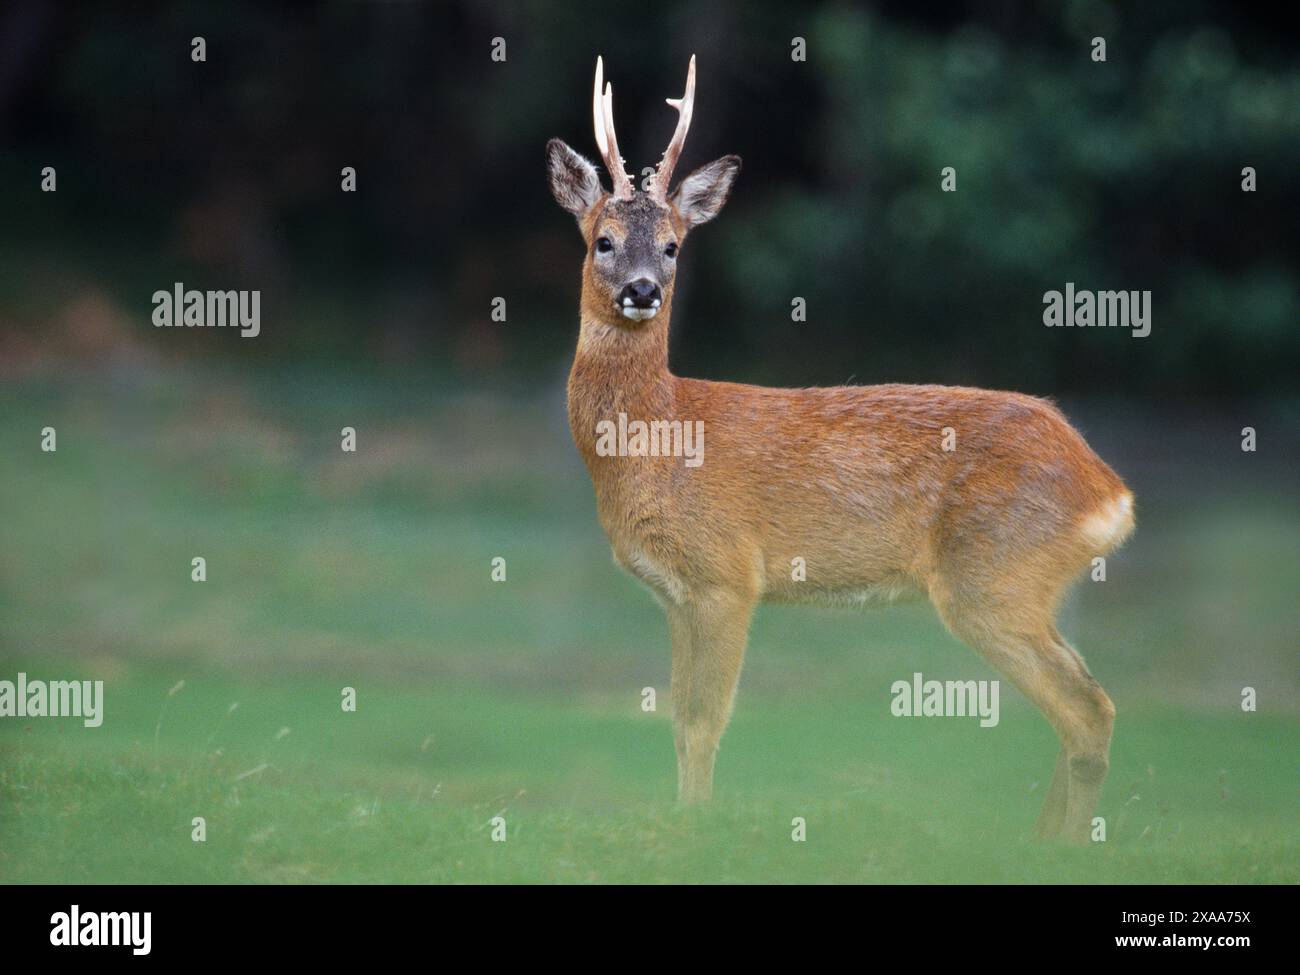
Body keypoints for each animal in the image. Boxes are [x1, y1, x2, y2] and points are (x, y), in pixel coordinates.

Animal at [543, 55, 1133, 847]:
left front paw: (695, 828)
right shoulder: (677, 594)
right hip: (1033, 585)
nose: (643, 289)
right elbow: (676, 718)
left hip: (994, 575)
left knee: (1087, 709)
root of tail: (1109, 489)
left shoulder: (728, 575)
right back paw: (1039, 840)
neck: (659, 435)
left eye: (672, 246)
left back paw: (1063, 847)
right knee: (1079, 705)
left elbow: (703, 722)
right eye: (602, 240)